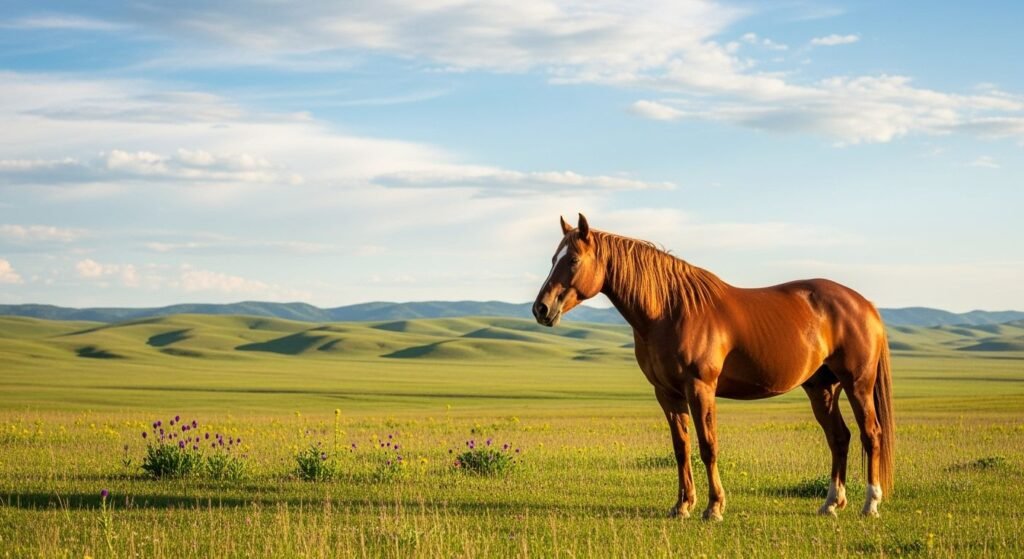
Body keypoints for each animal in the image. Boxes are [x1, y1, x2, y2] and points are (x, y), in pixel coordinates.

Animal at [532, 214, 894, 520]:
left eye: (573, 260)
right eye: (552, 260)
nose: (541, 309)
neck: (670, 310)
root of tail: (865, 304)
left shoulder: (700, 388)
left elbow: (708, 446)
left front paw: (714, 507)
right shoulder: (667, 394)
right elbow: (681, 448)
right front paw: (682, 506)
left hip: (858, 384)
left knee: (870, 434)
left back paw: (870, 504)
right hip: (822, 388)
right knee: (839, 437)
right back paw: (832, 503)